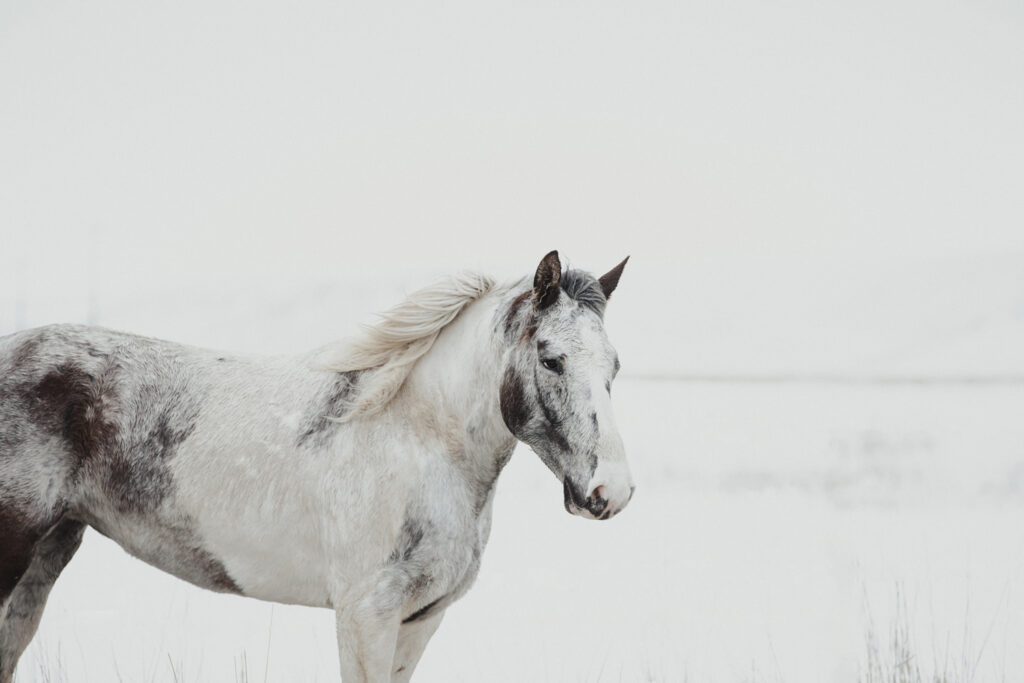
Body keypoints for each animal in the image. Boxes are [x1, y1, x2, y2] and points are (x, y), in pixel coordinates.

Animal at [0, 250, 634, 682]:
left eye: (615, 366)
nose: (613, 491)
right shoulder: (365, 616)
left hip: (48, 554)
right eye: (551, 359)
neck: (418, 437)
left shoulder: (420, 620)